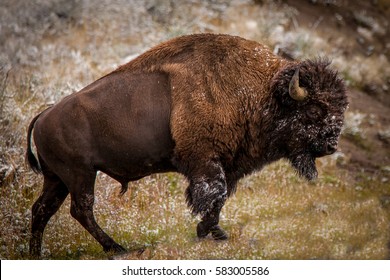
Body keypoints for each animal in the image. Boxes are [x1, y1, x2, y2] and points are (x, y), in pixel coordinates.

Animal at [26, 32, 348, 256]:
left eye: (339, 107)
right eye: (314, 109)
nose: (331, 145)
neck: (261, 92)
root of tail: (43, 116)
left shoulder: (227, 165)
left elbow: (220, 198)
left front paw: (213, 231)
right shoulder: (205, 161)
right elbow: (213, 194)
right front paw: (210, 231)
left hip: (58, 179)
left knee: (43, 209)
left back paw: (36, 254)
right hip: (80, 174)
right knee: (81, 209)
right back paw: (118, 248)